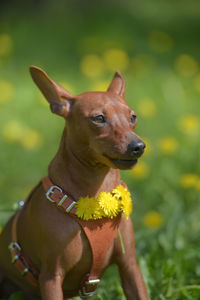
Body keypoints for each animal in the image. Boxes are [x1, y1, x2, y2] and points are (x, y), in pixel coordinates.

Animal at [0, 67, 147, 298]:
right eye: (98, 118)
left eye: (132, 117)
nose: (138, 146)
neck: (96, 196)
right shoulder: (51, 277)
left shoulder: (130, 267)